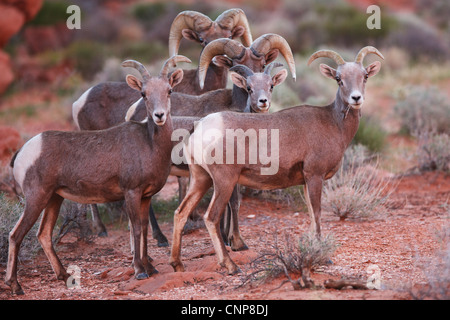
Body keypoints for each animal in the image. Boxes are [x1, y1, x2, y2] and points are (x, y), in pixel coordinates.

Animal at [4, 55, 190, 296]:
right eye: (143, 93)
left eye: (169, 90)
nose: (159, 115)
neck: (150, 144)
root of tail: (23, 151)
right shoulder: (131, 193)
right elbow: (136, 228)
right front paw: (140, 271)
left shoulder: (146, 197)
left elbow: (144, 228)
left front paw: (151, 269)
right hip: (36, 198)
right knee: (16, 235)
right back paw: (15, 286)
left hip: (54, 198)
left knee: (43, 234)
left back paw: (65, 276)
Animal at [169, 45, 384, 276]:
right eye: (338, 78)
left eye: (365, 76)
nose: (356, 98)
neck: (334, 124)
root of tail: (201, 128)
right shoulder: (315, 176)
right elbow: (317, 213)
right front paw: (323, 256)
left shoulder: (306, 182)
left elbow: (310, 213)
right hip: (223, 182)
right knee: (211, 217)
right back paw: (231, 265)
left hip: (201, 179)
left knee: (180, 213)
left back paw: (177, 264)